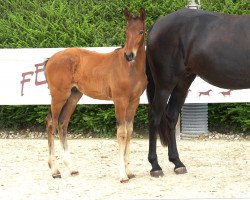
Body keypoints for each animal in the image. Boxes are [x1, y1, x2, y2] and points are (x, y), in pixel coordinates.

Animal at [45, 8, 146, 183]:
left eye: (140, 31)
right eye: (126, 31)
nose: (129, 55)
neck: (131, 69)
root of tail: (51, 59)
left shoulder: (134, 101)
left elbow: (130, 131)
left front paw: (130, 171)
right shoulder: (120, 100)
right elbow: (122, 133)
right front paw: (122, 175)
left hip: (73, 96)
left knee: (63, 123)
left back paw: (71, 168)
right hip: (59, 96)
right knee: (52, 123)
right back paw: (55, 170)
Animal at [146, 8, 249, 177]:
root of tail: (158, 24)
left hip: (182, 83)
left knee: (171, 116)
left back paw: (177, 163)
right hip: (164, 84)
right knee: (155, 117)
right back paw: (155, 166)